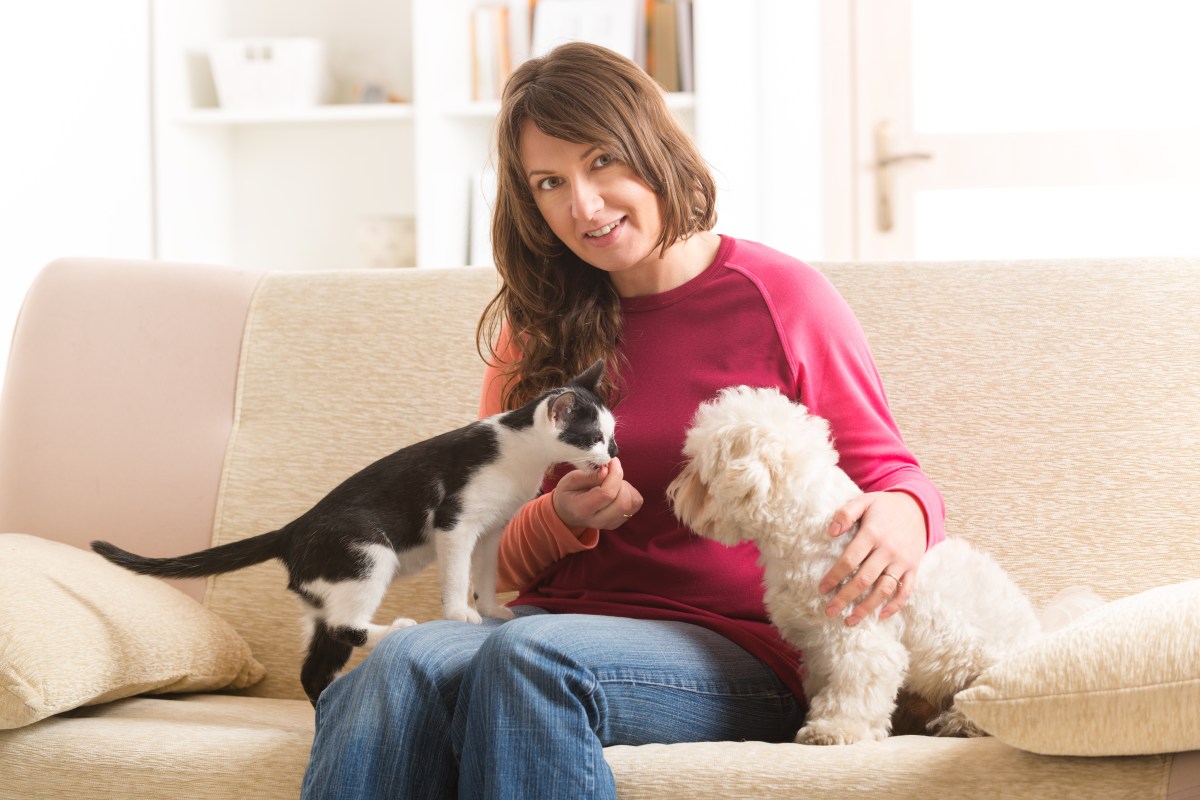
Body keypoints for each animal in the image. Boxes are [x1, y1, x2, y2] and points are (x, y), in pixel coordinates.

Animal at [93, 359, 619, 705]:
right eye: (592, 437)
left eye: (612, 435)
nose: (612, 455)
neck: (520, 454)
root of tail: (291, 530)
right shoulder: (455, 522)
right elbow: (456, 574)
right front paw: (459, 613)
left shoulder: (492, 532)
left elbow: (486, 573)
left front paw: (489, 608)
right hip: (368, 554)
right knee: (348, 626)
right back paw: (399, 628)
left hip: (324, 595)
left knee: (316, 663)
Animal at [667, 388, 1041, 743]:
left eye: (698, 471)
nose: (673, 492)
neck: (810, 531)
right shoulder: (818, 646)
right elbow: (824, 687)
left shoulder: (861, 637)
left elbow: (854, 691)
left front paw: (834, 729)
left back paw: (960, 723)